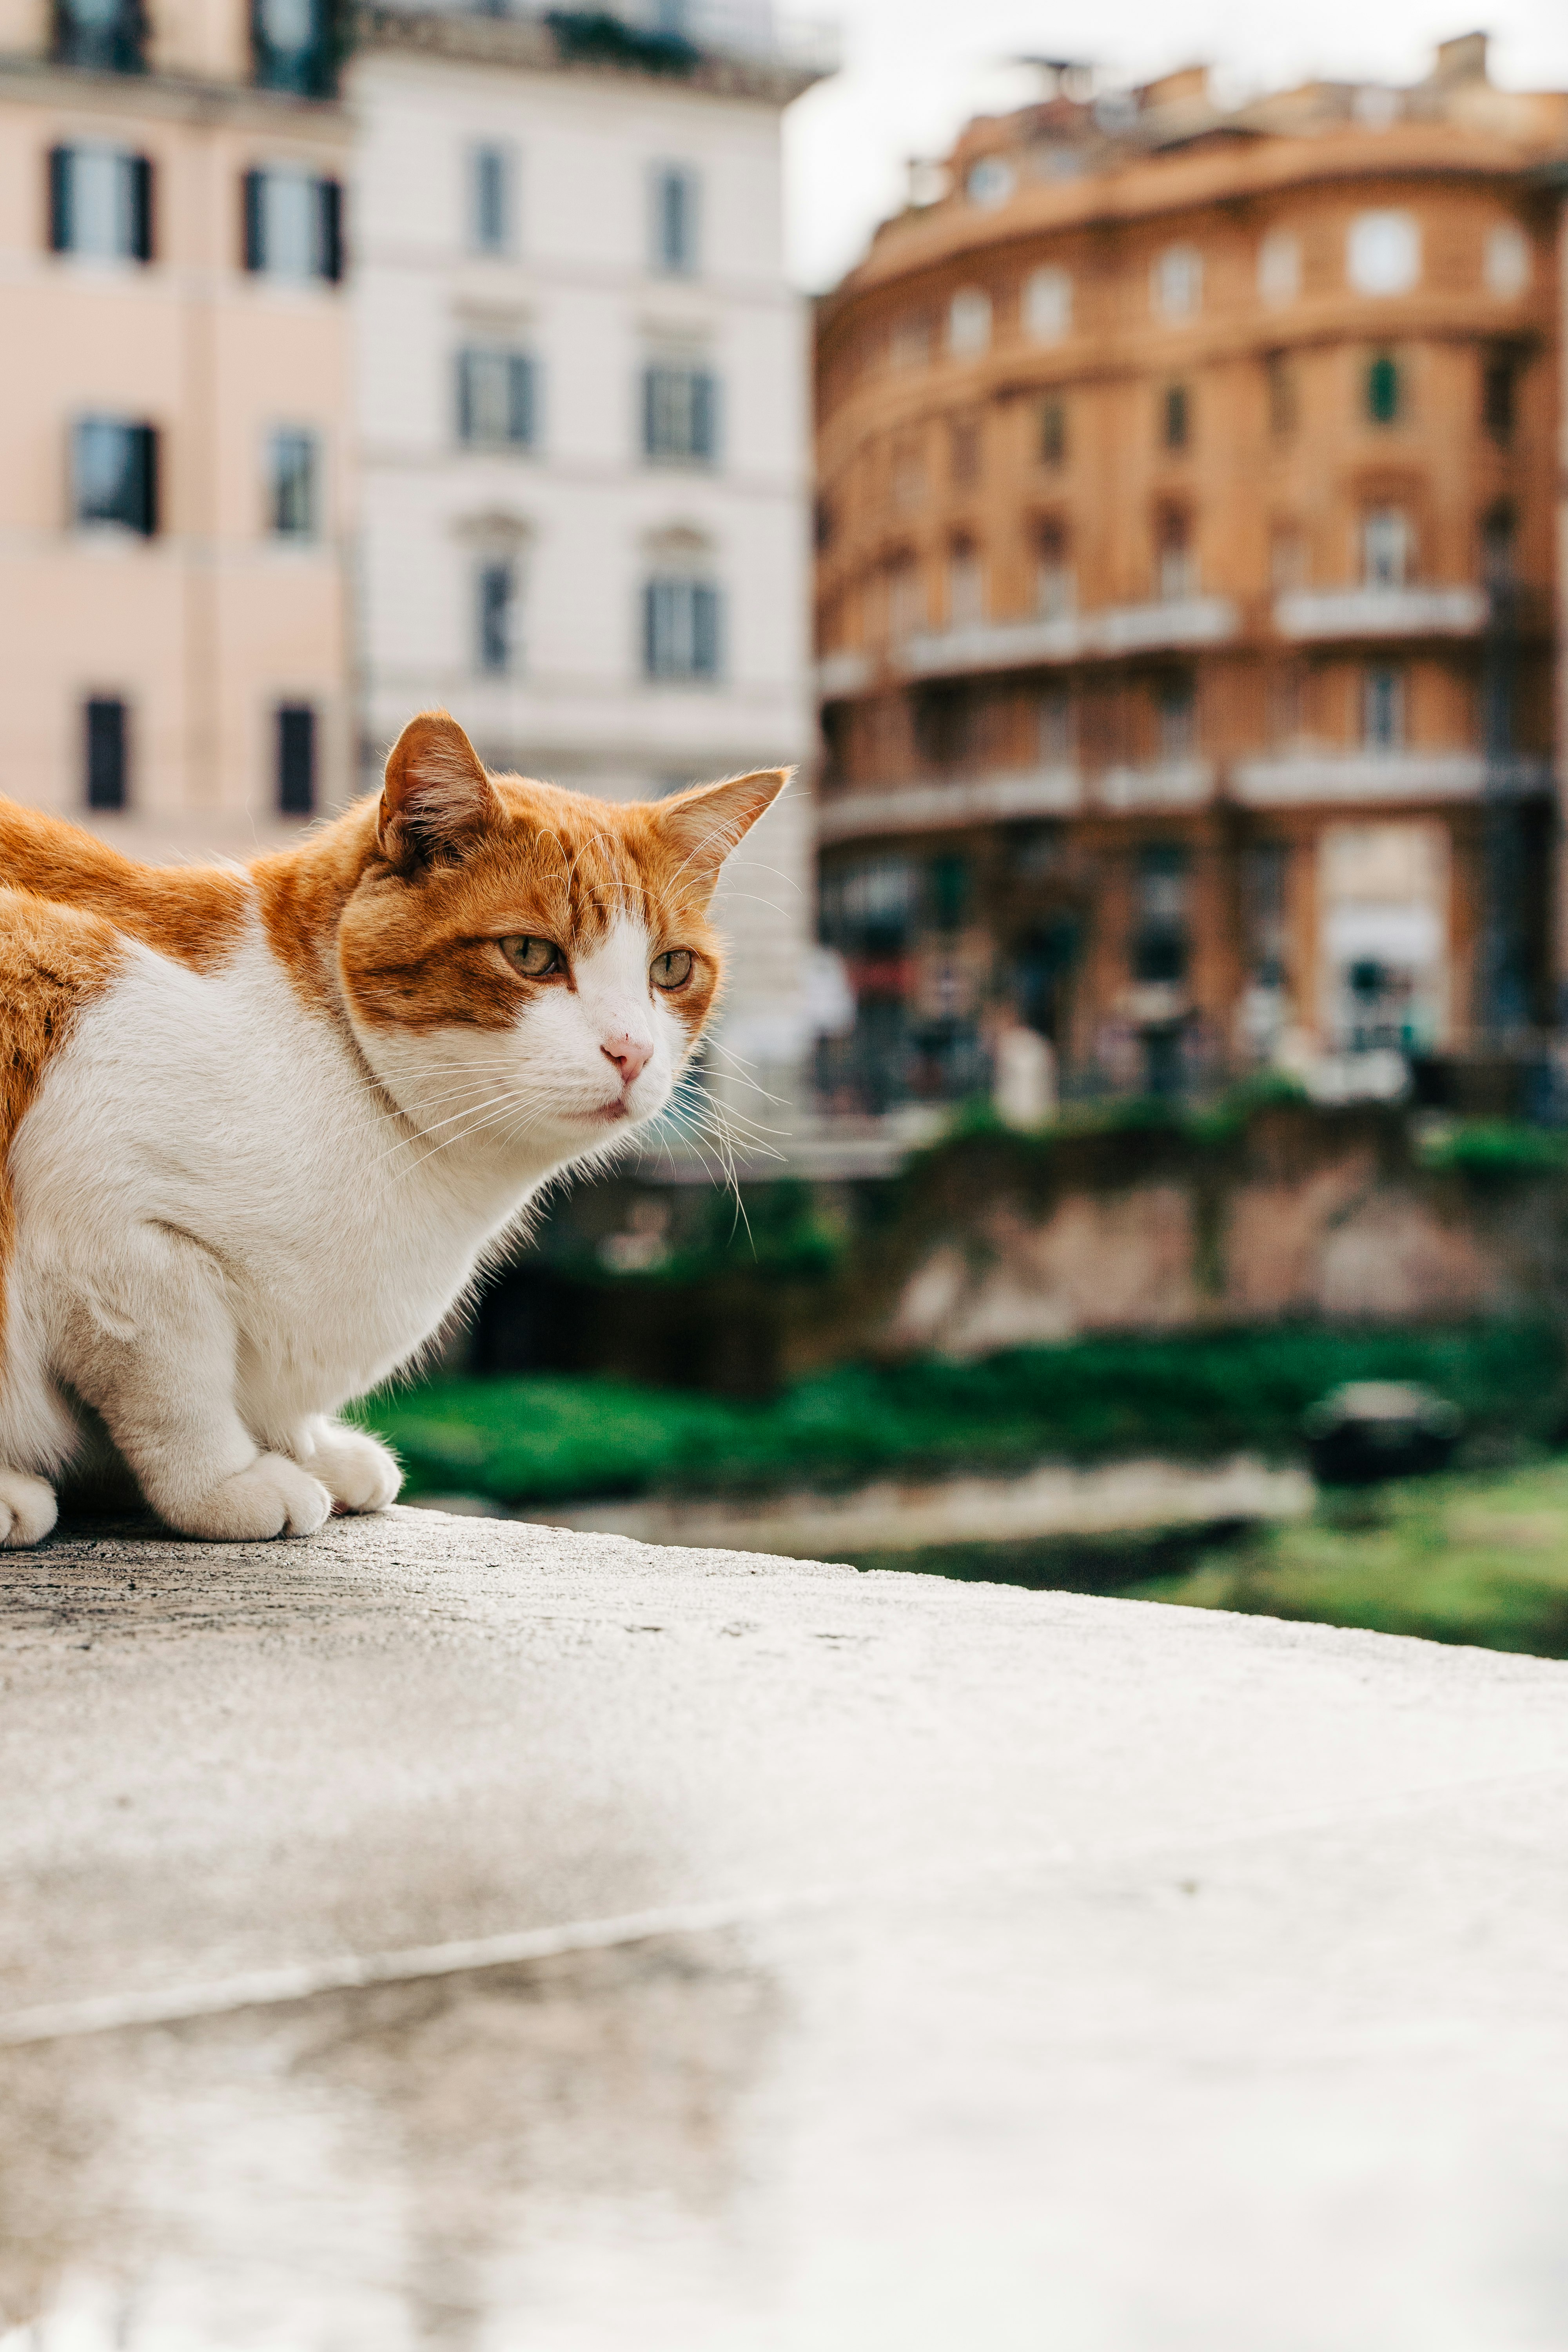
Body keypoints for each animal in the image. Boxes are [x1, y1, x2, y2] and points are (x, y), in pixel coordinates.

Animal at [0, 701, 785, 1543]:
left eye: (670, 969)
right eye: (530, 954)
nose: (633, 1051)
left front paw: (312, 1451)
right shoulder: (111, 1226)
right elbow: (179, 1386)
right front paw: (228, 1480)